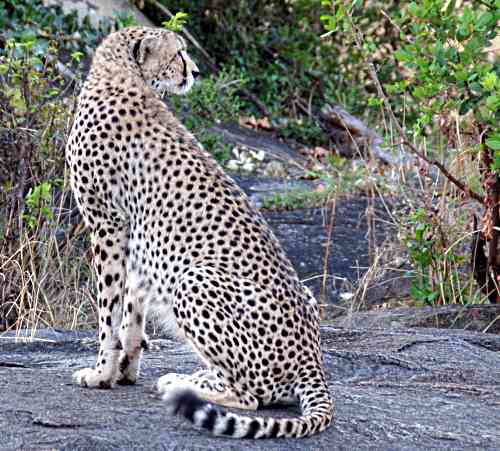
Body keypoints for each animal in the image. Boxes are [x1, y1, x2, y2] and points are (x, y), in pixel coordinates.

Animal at [65, 26, 332, 440]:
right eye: (178, 53)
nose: (194, 71)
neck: (124, 76)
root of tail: (313, 360)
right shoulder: (132, 234)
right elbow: (131, 314)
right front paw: (124, 370)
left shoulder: (107, 224)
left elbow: (109, 311)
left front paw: (100, 373)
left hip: (193, 279)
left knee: (251, 397)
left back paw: (181, 383)